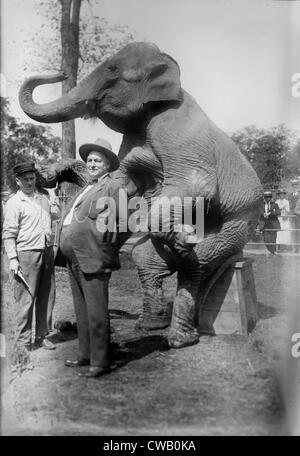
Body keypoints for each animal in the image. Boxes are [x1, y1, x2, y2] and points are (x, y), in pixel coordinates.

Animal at [19, 41, 262, 350]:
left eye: (112, 69)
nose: (61, 73)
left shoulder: (176, 129)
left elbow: (197, 185)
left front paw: (180, 237)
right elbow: (123, 187)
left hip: (240, 222)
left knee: (196, 263)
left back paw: (179, 335)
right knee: (145, 257)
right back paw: (150, 324)